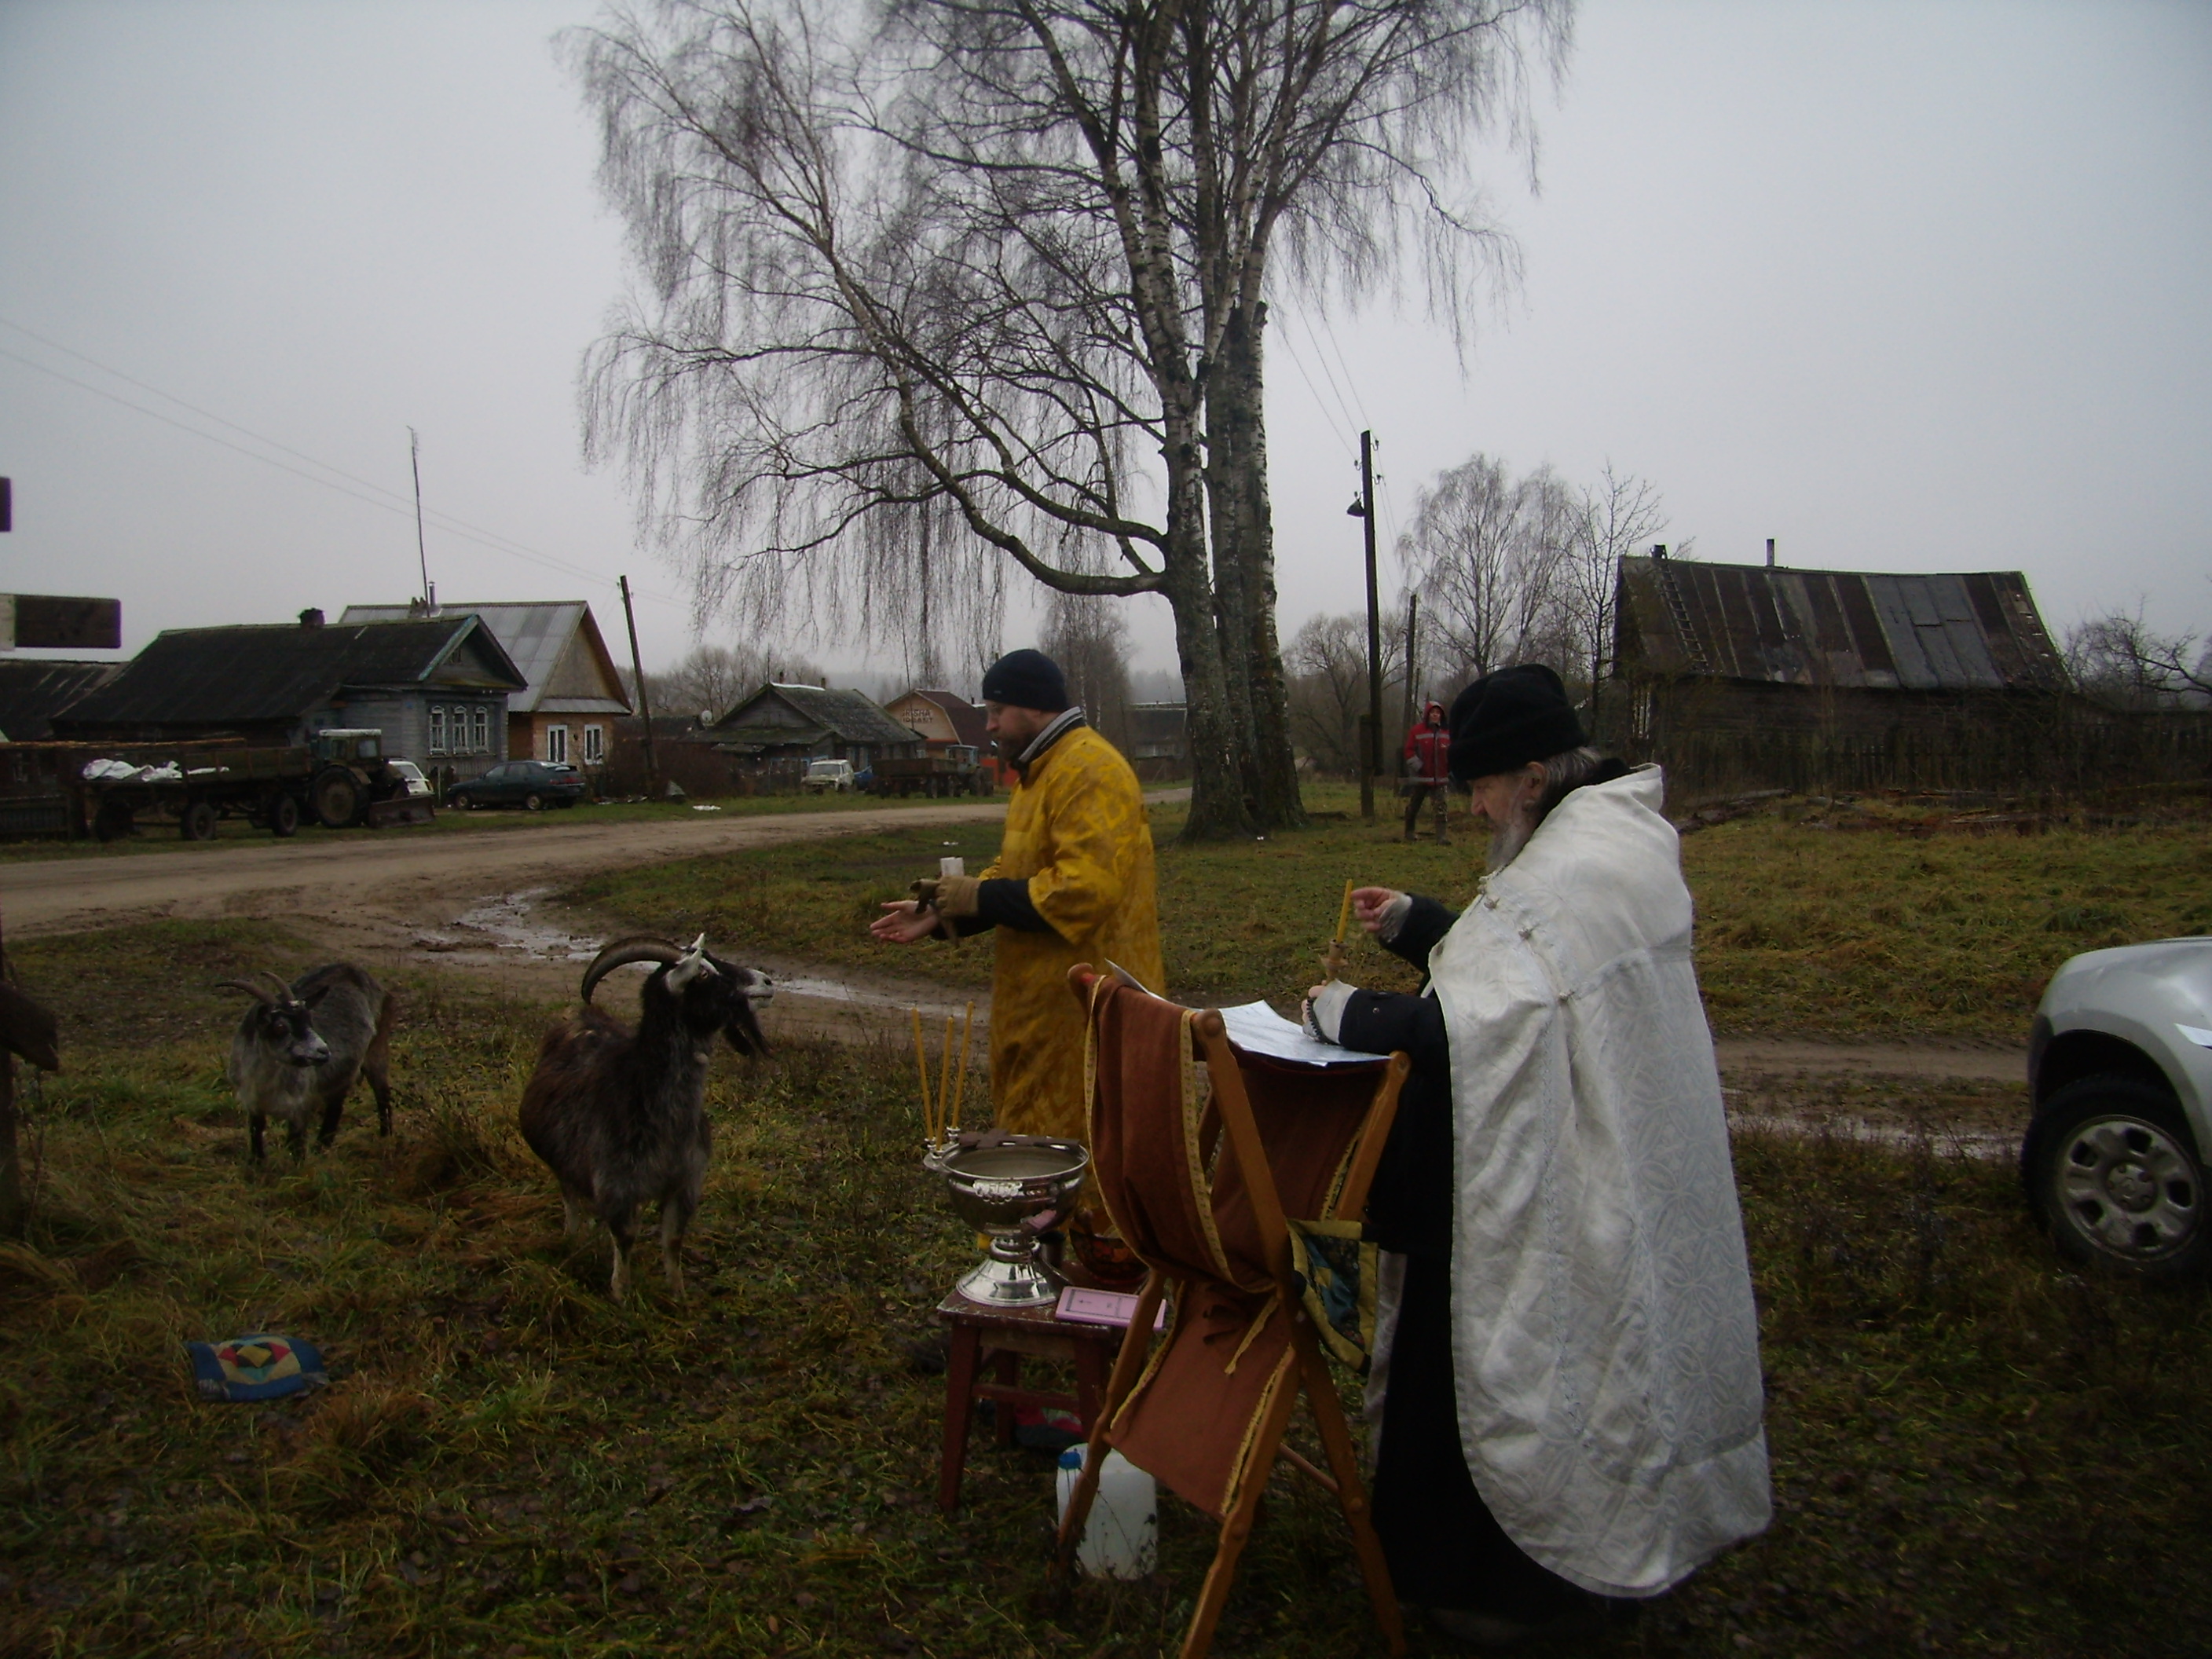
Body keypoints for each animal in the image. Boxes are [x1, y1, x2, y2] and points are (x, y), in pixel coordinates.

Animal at [218, 964, 396, 1162]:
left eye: (309, 1020)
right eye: (280, 1027)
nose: (323, 1051)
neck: (266, 1084)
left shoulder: (300, 1107)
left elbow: (297, 1147)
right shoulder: (253, 1105)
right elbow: (256, 1139)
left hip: (376, 1049)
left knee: (382, 1095)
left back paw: (385, 1138)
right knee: (336, 1106)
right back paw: (323, 1146)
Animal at [519, 934, 771, 1301]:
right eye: (703, 973)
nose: (766, 982)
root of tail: (581, 1017)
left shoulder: (685, 1185)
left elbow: (673, 1241)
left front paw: (678, 1296)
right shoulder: (617, 1188)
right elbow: (625, 1239)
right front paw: (621, 1295)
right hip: (562, 1161)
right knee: (570, 1197)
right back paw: (574, 1238)